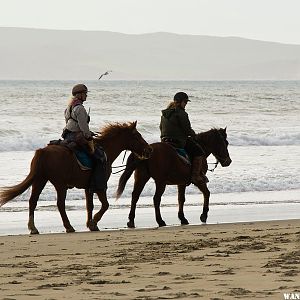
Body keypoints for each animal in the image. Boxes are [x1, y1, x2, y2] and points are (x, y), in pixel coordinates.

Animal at [0, 122, 150, 234]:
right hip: (59, 184)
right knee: (60, 204)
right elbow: (105, 204)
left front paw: (91, 224)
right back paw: (68, 226)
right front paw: (94, 221)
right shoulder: (100, 186)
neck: (106, 150)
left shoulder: (88, 187)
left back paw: (33, 228)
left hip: (40, 180)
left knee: (33, 201)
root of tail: (42, 151)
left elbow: (90, 205)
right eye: (137, 136)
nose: (149, 150)